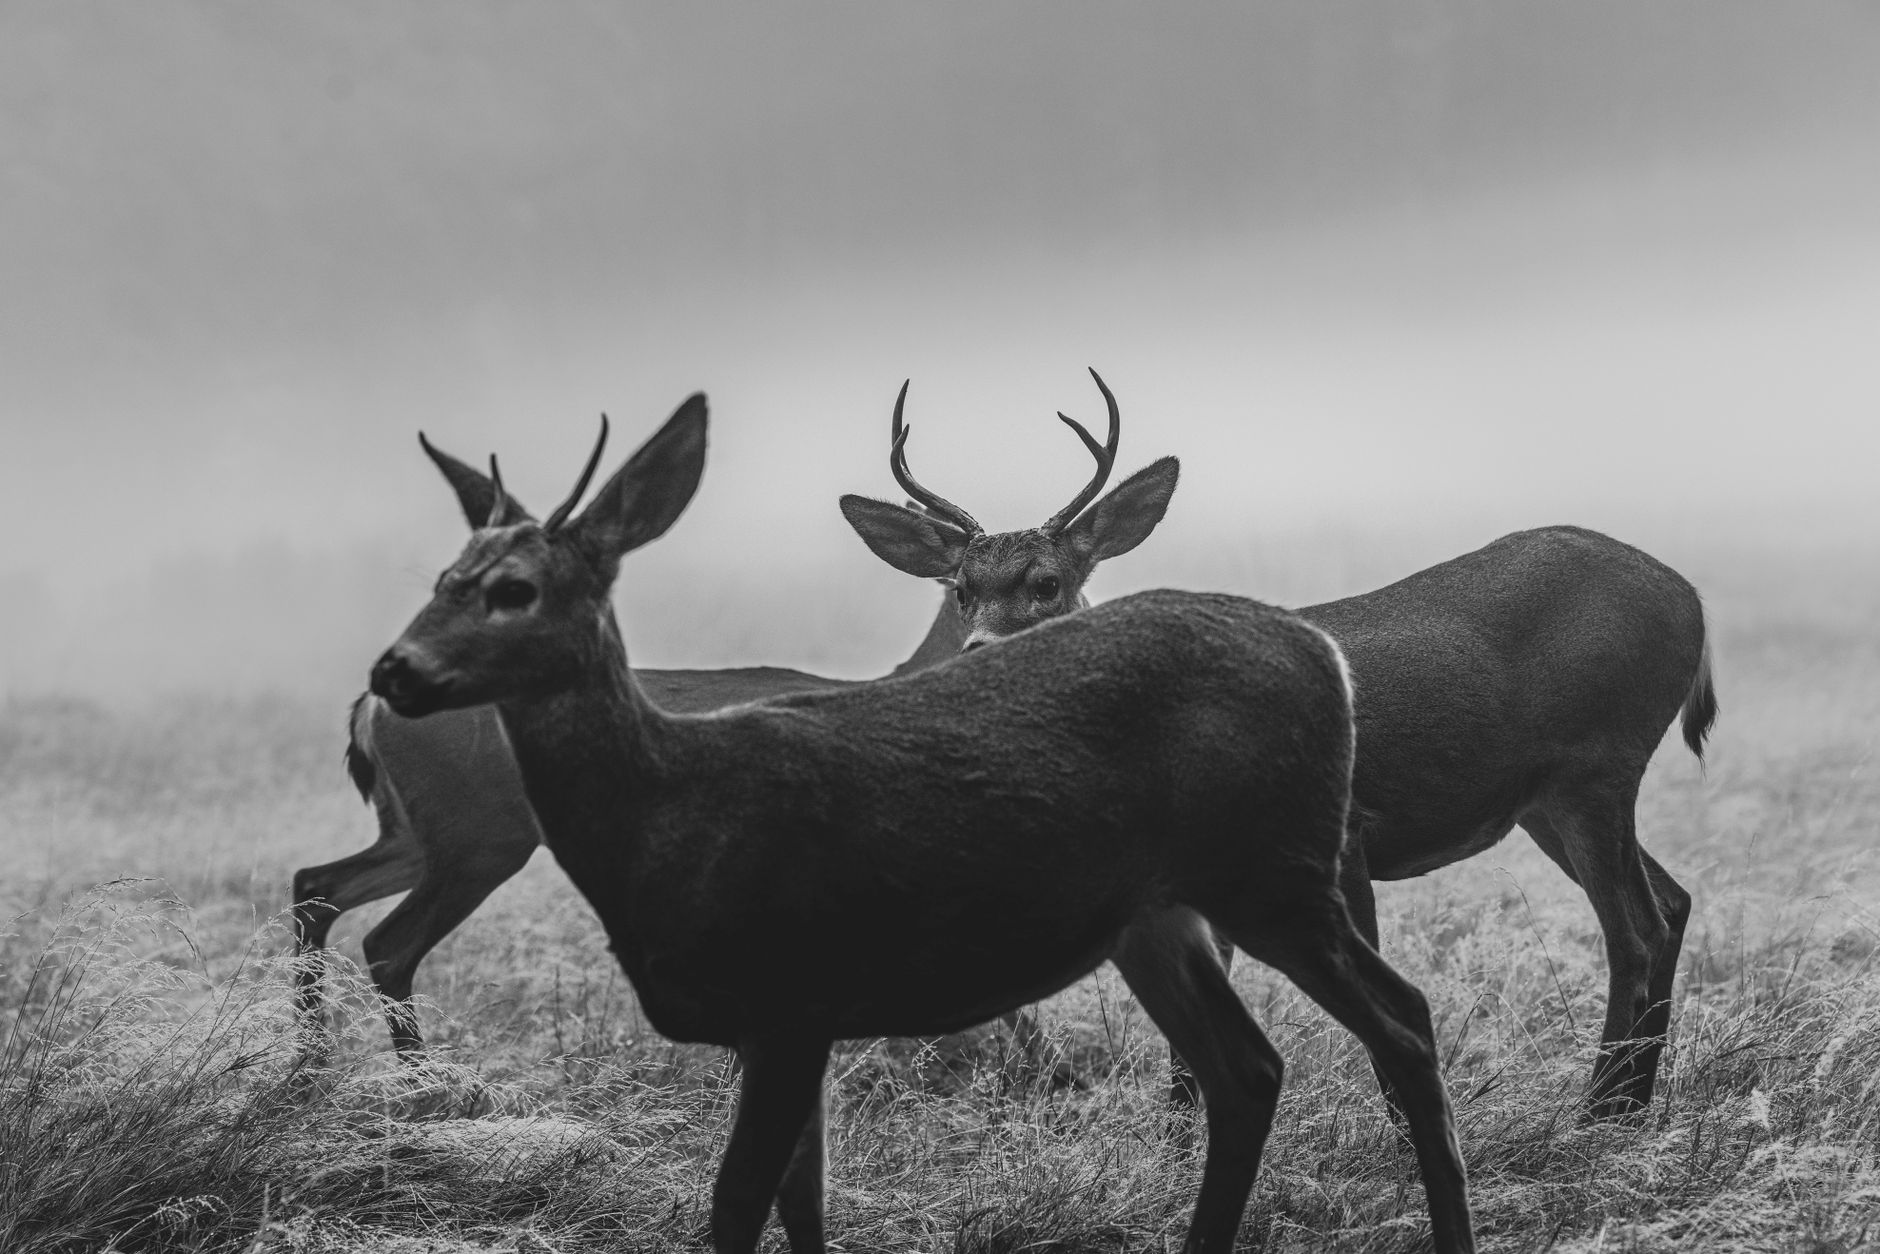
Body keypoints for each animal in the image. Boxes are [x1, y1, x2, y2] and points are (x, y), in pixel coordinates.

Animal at [292, 439, 969, 1056]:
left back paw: (312, 1064)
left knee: (317, 887)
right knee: (387, 942)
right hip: (478, 838)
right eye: (964, 585)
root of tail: (372, 704)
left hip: (420, 834)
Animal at [366, 396, 1477, 1254]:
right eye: (440, 578)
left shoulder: (799, 990)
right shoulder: (793, 1012)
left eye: (516, 591)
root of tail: (1323, 653)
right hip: (1164, 917)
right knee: (1254, 1069)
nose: (395, 668)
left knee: (1395, 1022)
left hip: (1268, 875)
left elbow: (748, 1198)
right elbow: (798, 1196)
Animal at [841, 369, 1718, 1120]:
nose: (976, 652)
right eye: (960, 590)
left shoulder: (1348, 833)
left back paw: (1600, 1111)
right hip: (1547, 799)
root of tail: (1693, 599)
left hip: (1596, 764)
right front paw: (1178, 1134)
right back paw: (1630, 1105)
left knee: (1635, 929)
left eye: (1046, 583)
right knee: (1673, 903)